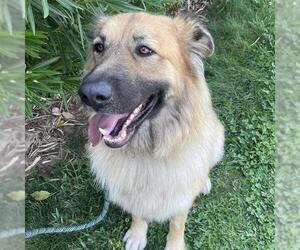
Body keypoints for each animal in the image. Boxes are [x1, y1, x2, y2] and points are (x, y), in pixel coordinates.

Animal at [78, 12, 224, 250]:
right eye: (99, 47)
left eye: (144, 50)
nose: (88, 95)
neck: (147, 152)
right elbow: (138, 213)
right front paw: (138, 234)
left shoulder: (181, 196)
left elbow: (177, 223)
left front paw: (174, 245)